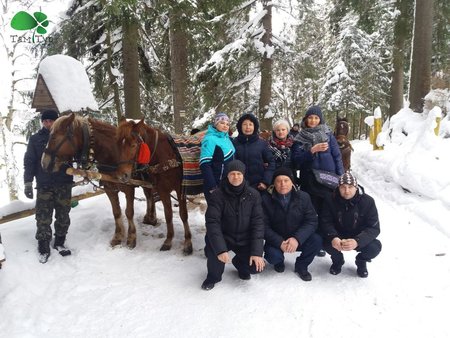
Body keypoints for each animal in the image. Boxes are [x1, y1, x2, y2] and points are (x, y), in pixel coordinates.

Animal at [40, 113, 146, 248]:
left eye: (53, 137)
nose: (43, 163)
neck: (114, 156)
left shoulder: (129, 188)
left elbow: (129, 212)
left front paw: (132, 237)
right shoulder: (109, 189)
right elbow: (116, 212)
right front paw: (118, 236)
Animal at [116, 120, 192, 255]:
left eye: (133, 145)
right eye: (118, 145)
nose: (121, 176)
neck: (166, 156)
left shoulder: (180, 189)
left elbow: (183, 214)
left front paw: (188, 242)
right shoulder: (162, 190)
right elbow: (168, 215)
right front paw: (168, 241)